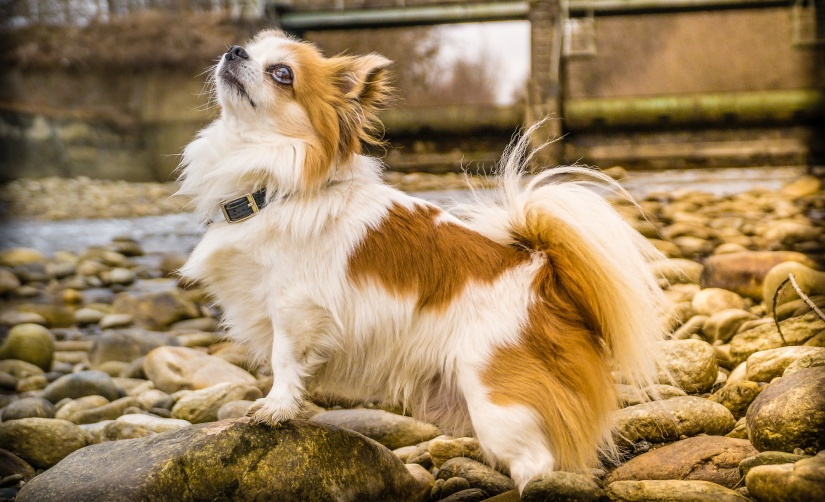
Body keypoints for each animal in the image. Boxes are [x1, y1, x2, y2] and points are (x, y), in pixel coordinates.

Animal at [177, 30, 668, 490]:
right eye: (250, 48)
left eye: (282, 74)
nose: (235, 50)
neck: (270, 188)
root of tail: (544, 277)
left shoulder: (295, 307)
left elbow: (283, 359)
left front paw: (276, 407)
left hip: (498, 403)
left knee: (537, 464)